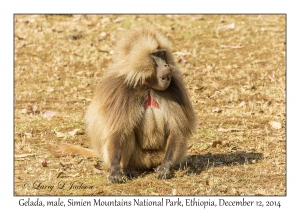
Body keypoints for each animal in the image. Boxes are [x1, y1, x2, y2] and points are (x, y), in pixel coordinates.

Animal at [51, 28, 197, 183]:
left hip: (159, 154)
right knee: (125, 132)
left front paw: (165, 168)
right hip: (137, 157)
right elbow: (117, 131)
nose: (166, 66)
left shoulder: (174, 90)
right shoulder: (121, 92)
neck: (147, 85)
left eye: (163, 54)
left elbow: (177, 130)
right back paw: (127, 169)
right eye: (156, 55)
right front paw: (115, 171)